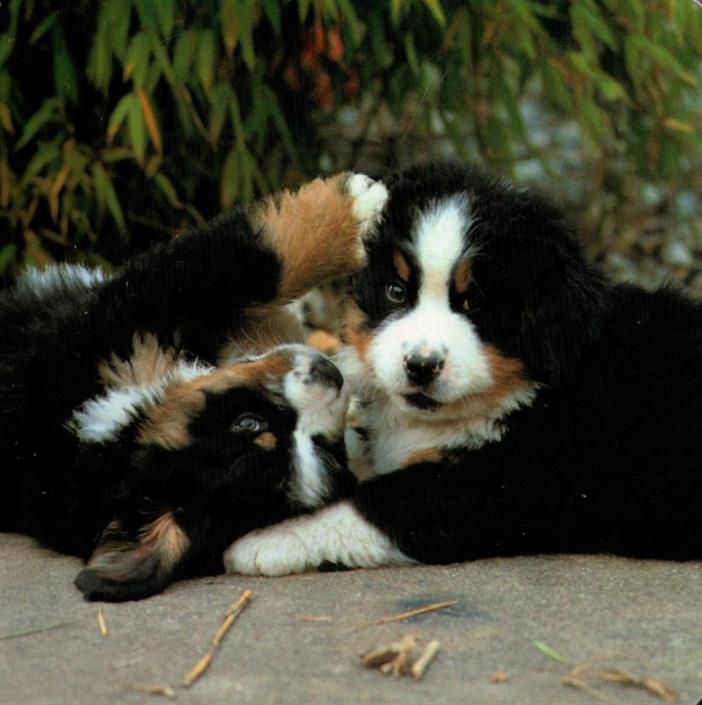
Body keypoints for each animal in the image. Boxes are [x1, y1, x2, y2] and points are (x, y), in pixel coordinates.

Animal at [0, 172, 388, 601]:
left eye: (320, 449)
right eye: (248, 423)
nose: (330, 374)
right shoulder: (126, 319)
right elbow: (256, 257)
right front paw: (361, 207)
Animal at [224, 161, 702, 576]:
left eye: (474, 303)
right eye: (396, 291)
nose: (421, 365)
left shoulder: (492, 486)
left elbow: (370, 505)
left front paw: (264, 541)